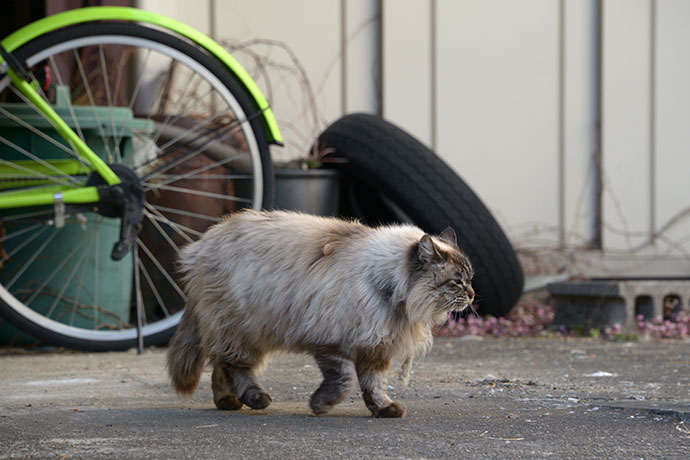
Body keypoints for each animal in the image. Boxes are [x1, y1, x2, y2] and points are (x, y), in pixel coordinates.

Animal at [165, 210, 472, 418]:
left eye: (470, 279)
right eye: (457, 282)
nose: (471, 295)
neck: (389, 288)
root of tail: (204, 243)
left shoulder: (376, 347)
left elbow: (375, 385)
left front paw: (383, 408)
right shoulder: (332, 342)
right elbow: (345, 382)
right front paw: (321, 405)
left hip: (241, 332)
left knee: (221, 366)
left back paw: (228, 402)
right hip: (240, 329)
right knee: (235, 367)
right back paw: (255, 398)